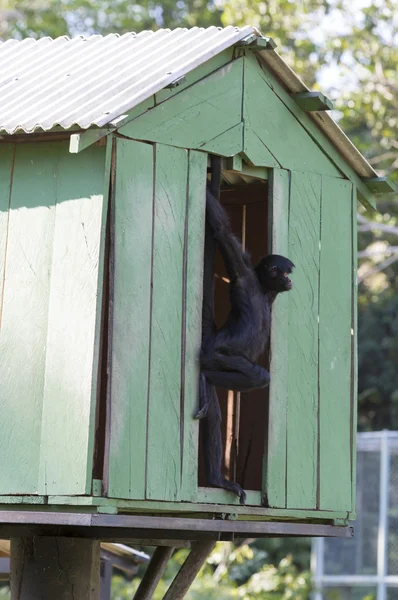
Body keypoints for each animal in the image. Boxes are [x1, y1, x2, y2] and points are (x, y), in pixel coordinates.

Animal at [197, 157, 294, 504]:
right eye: (284, 271)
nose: (289, 280)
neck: (263, 291)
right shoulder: (242, 270)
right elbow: (223, 230)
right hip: (214, 352)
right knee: (252, 375)